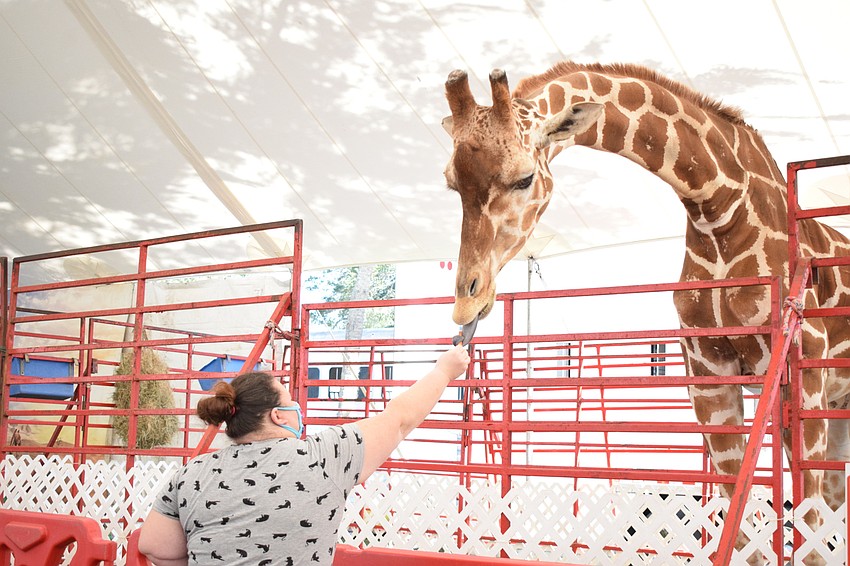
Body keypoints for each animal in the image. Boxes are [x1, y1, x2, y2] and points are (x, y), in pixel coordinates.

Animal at [441, 61, 850, 565]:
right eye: (451, 182)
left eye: (524, 178)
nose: (467, 301)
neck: (718, 209)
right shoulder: (709, 373)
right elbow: (745, 529)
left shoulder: (802, 371)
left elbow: (808, 533)